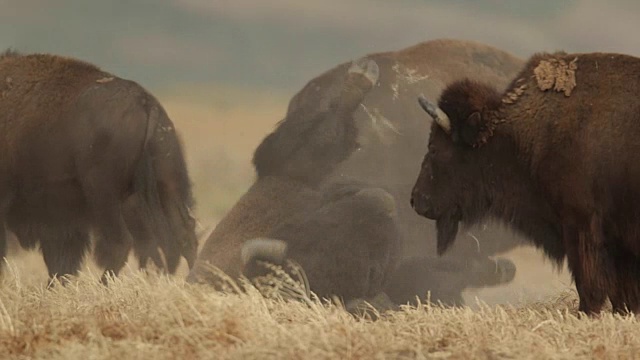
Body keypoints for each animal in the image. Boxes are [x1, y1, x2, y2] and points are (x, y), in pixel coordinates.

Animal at [412, 50, 640, 316]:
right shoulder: (616, 241)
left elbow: (589, 283)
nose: (415, 199)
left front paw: (586, 312)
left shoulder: (580, 225)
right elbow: (621, 291)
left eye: (434, 148)